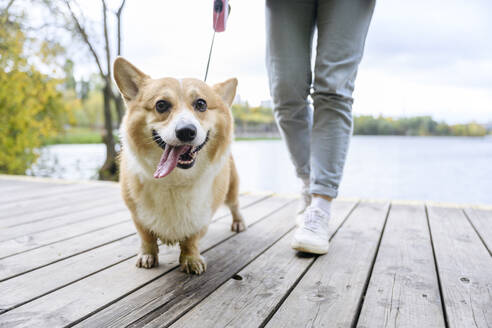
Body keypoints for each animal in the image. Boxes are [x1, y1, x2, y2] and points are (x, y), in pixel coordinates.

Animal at [114, 57, 246, 274]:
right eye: (161, 105)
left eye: (201, 104)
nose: (186, 131)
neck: (175, 179)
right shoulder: (137, 214)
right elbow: (146, 237)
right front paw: (147, 255)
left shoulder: (200, 215)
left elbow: (191, 239)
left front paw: (191, 259)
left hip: (231, 188)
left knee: (235, 205)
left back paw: (238, 223)